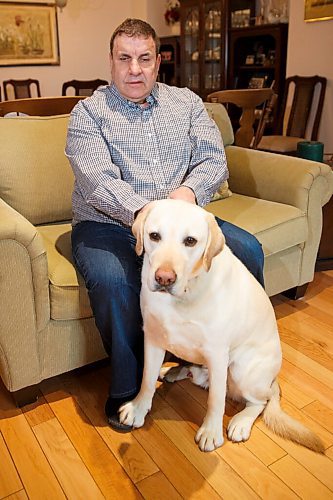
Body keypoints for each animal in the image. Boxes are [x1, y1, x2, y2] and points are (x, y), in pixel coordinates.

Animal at [118, 198, 322, 454]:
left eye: (190, 241)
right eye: (154, 236)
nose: (164, 278)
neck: (186, 292)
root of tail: (272, 381)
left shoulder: (216, 353)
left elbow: (216, 399)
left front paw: (210, 432)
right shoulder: (153, 337)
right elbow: (146, 379)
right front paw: (138, 408)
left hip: (242, 370)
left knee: (259, 401)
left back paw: (241, 422)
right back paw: (173, 370)